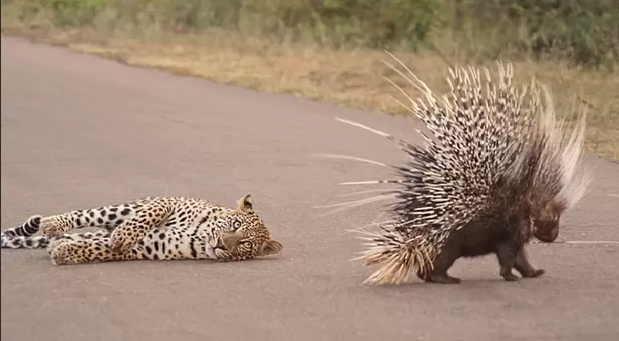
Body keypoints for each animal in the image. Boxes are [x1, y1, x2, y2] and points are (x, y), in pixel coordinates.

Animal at [0, 193, 284, 264]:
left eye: (246, 244)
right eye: (235, 225)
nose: (222, 244)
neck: (202, 236)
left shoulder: (151, 247)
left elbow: (102, 250)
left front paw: (66, 252)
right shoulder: (168, 201)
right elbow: (147, 216)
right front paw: (123, 235)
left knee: (90, 236)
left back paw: (61, 243)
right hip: (122, 208)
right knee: (85, 215)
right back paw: (52, 224)